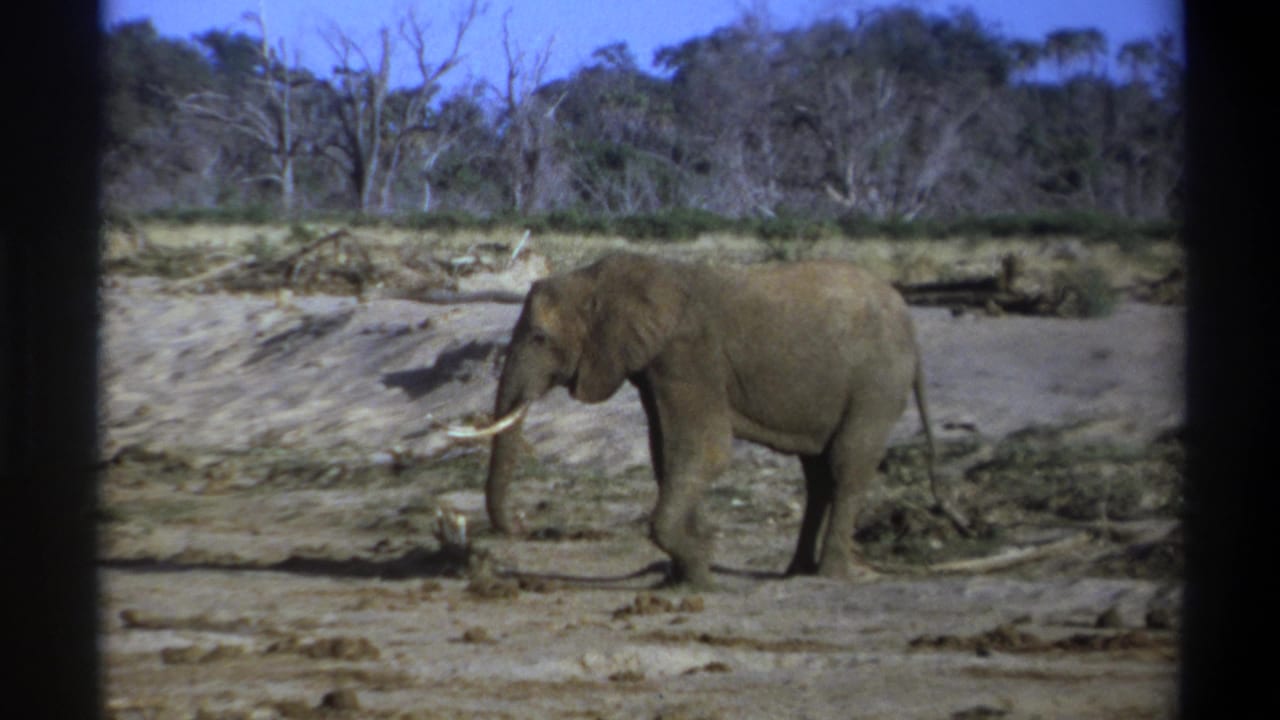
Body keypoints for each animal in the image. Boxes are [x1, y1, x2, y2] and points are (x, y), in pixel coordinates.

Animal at [453, 252, 959, 588]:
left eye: (539, 338)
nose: (523, 527)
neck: (598, 278)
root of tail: (912, 328)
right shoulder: (656, 365)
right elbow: (667, 453)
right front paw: (683, 576)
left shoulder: (689, 354)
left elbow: (704, 450)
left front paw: (699, 568)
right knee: (817, 475)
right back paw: (795, 572)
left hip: (877, 383)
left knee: (848, 465)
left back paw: (829, 577)